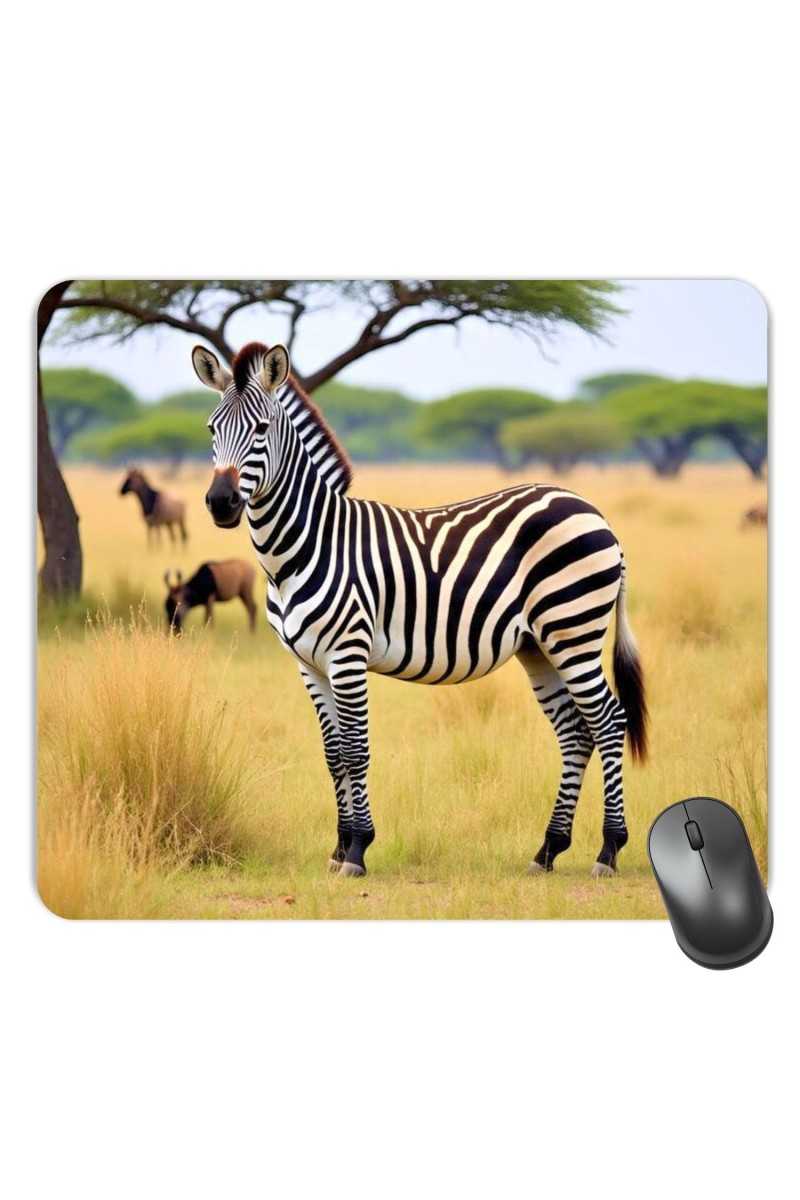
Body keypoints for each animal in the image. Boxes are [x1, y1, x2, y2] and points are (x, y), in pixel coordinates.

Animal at [192, 340, 648, 880]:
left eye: (261, 429)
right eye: (211, 429)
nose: (220, 503)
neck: (304, 547)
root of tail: (591, 509)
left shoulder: (347, 655)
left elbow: (356, 750)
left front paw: (358, 850)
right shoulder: (308, 663)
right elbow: (332, 754)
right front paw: (337, 848)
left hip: (573, 630)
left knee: (609, 721)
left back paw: (608, 850)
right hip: (539, 645)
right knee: (576, 732)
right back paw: (548, 851)